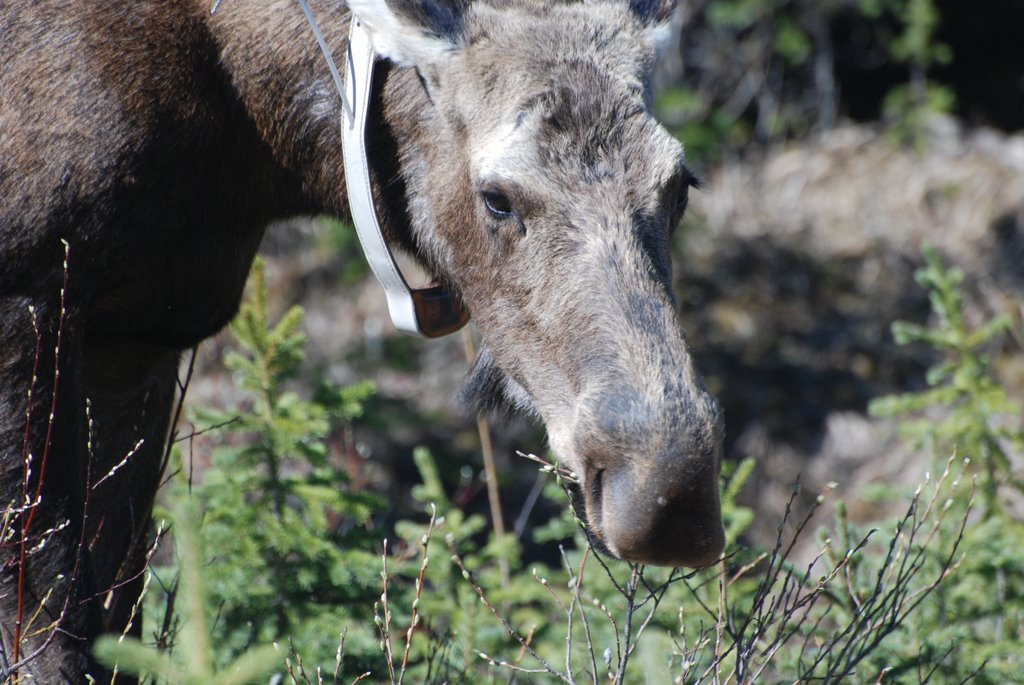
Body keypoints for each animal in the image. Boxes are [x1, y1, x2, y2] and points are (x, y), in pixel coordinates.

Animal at [0, 0, 724, 675]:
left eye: (681, 186)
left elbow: (114, 613)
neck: (252, 141)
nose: (670, 496)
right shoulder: (30, 296)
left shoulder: (142, 334)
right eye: (497, 198)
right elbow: (50, 628)